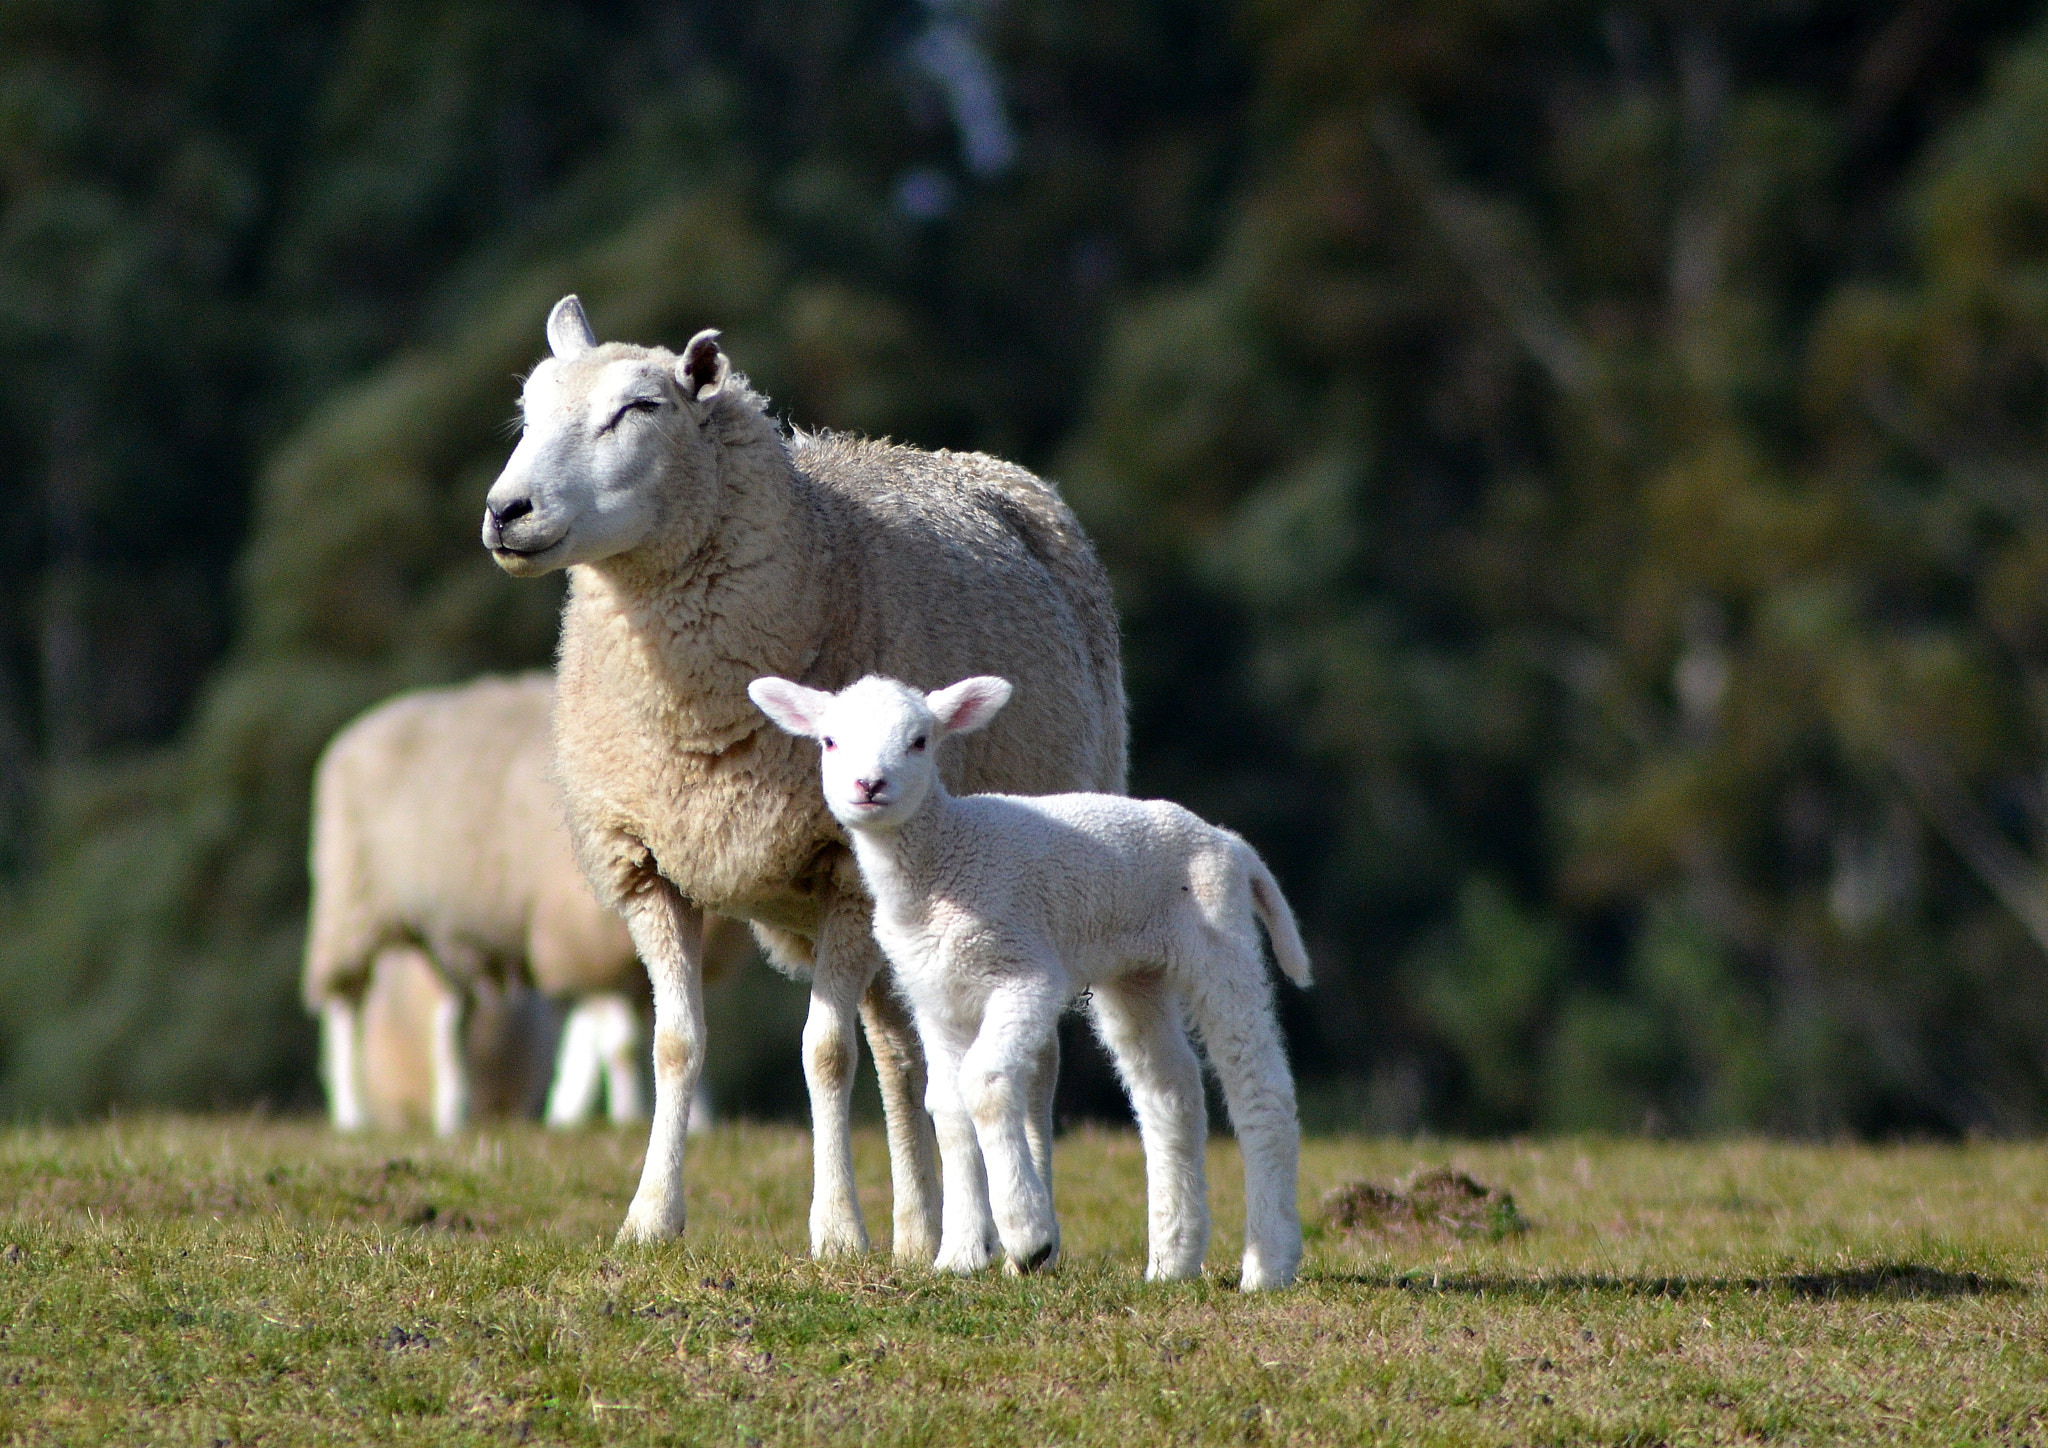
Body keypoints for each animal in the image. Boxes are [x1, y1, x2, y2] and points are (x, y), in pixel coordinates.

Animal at [305, 672, 718, 1134]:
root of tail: (364, 725)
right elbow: (619, 1042)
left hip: (450, 932)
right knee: (346, 1007)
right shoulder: (583, 942)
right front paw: (618, 1116)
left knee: (451, 1021)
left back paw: (455, 1113)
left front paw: (698, 1122)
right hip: (352, 901)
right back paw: (351, 1113)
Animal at [480, 296, 1125, 1256]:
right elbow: (676, 1046)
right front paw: (650, 1219)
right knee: (902, 1056)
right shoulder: (647, 867)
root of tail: (975, 465)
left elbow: (824, 1054)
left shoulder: (843, 873)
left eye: (639, 409)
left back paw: (1019, 1221)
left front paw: (836, 1233)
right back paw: (918, 1234)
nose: (505, 510)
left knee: (1026, 1056)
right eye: (526, 411)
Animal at [749, 672, 1311, 1291]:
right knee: (1171, 1092)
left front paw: (1027, 1235)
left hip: (1218, 937)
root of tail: (1229, 843)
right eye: (829, 741)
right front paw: (960, 1253)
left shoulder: (1023, 975)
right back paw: (1172, 1261)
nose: (869, 785)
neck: (943, 857)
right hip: (1133, 972)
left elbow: (986, 1082)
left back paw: (1268, 1263)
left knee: (1260, 1085)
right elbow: (948, 1107)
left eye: (920, 741)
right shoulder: (936, 996)